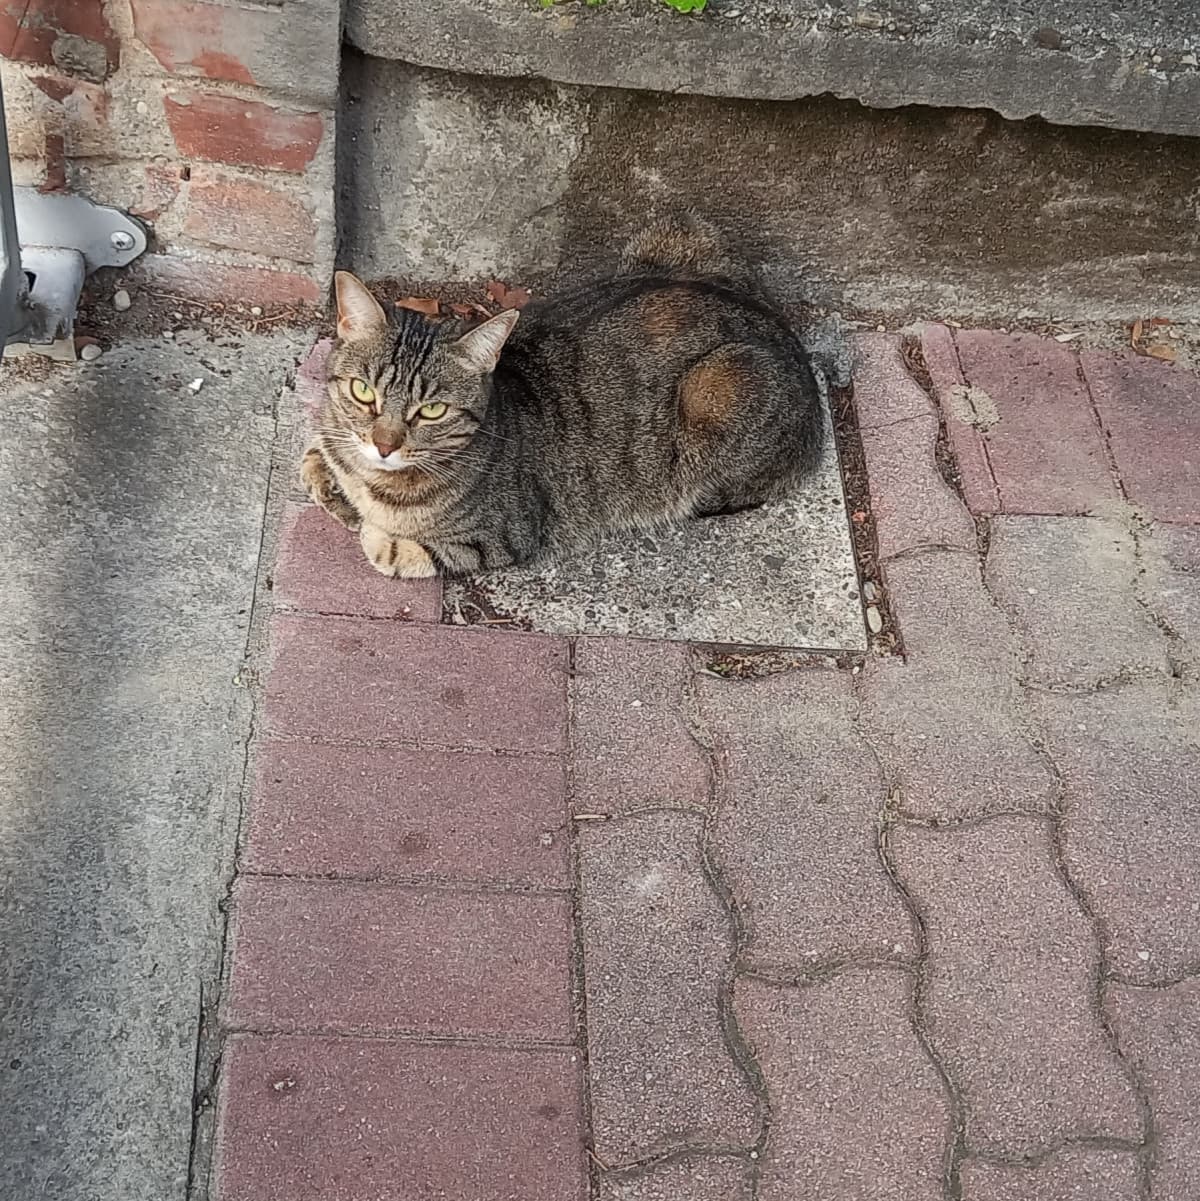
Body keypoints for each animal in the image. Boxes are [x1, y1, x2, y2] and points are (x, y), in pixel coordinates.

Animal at [302, 213, 826, 578]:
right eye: (362, 391)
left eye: (432, 410)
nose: (384, 445)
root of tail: (792, 339)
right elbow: (319, 454)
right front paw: (328, 475)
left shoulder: (504, 535)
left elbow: (395, 546)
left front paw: (370, 528)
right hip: (677, 233)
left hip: (719, 386)